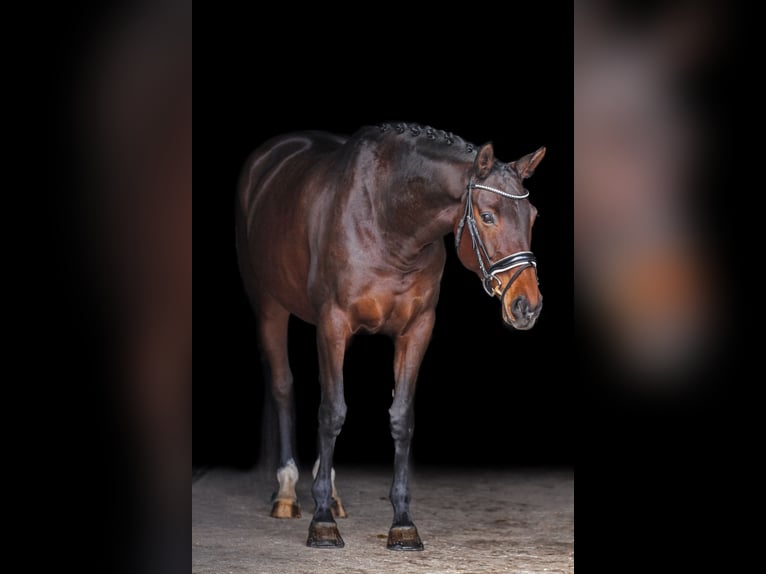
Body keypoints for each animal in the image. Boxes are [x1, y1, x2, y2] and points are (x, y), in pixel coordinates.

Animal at [238, 124, 544, 552]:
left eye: (532, 216)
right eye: (487, 216)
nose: (526, 306)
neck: (390, 223)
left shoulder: (416, 328)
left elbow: (401, 418)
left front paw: (402, 522)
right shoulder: (332, 322)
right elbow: (331, 413)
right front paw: (322, 522)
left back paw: (332, 493)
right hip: (270, 307)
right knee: (283, 387)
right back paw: (286, 493)